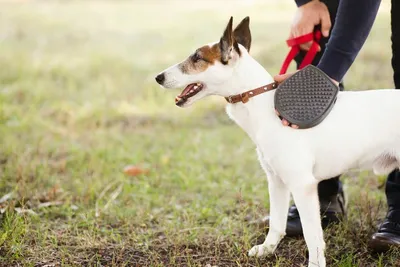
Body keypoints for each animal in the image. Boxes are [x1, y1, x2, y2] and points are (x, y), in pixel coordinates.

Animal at [155, 17, 398, 267]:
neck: (265, 106)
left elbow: (312, 236)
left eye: (197, 58)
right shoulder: (277, 181)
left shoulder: (302, 186)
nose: (158, 77)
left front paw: (315, 262)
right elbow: (277, 222)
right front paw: (267, 248)